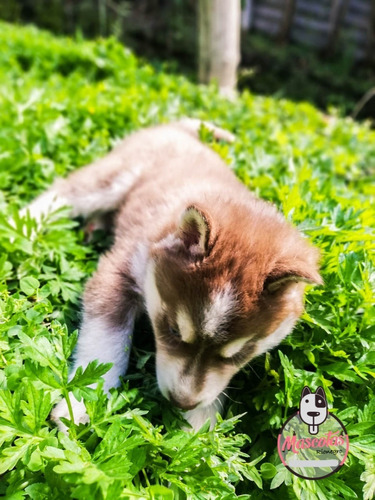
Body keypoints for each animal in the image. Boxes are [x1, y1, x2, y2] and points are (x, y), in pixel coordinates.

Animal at [26, 118, 322, 430]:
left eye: (240, 354)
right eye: (172, 330)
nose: (183, 402)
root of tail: (176, 127)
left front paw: (201, 430)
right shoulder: (118, 270)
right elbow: (106, 342)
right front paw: (83, 402)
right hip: (110, 179)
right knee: (64, 192)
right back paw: (23, 224)